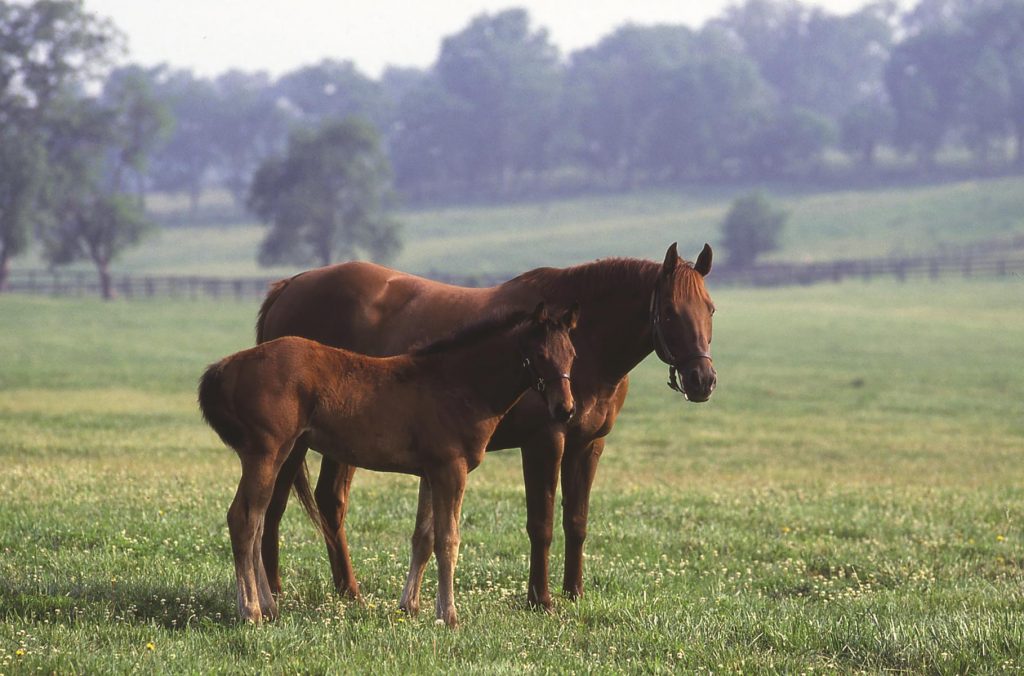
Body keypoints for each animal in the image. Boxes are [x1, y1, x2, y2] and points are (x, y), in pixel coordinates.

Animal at [199, 303, 581, 626]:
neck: (457, 384)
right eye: (540, 355)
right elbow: (448, 540)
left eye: (572, 355)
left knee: (257, 521)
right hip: (266, 453)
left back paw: (267, 607)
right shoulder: (451, 470)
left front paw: (410, 607)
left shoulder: (431, 473)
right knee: (244, 520)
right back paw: (250, 611)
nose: (565, 409)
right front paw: (449, 616)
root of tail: (228, 366)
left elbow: (424, 538)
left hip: (274, 454)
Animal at [260, 241, 716, 606]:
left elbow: (577, 521)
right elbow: (541, 524)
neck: (579, 345)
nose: (703, 380)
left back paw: (347, 591)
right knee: (276, 503)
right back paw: (277, 590)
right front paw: (540, 599)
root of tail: (289, 287)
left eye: (710, 309)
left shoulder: (588, 446)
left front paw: (574, 593)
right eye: (671, 312)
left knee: (330, 501)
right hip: (296, 443)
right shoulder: (544, 443)